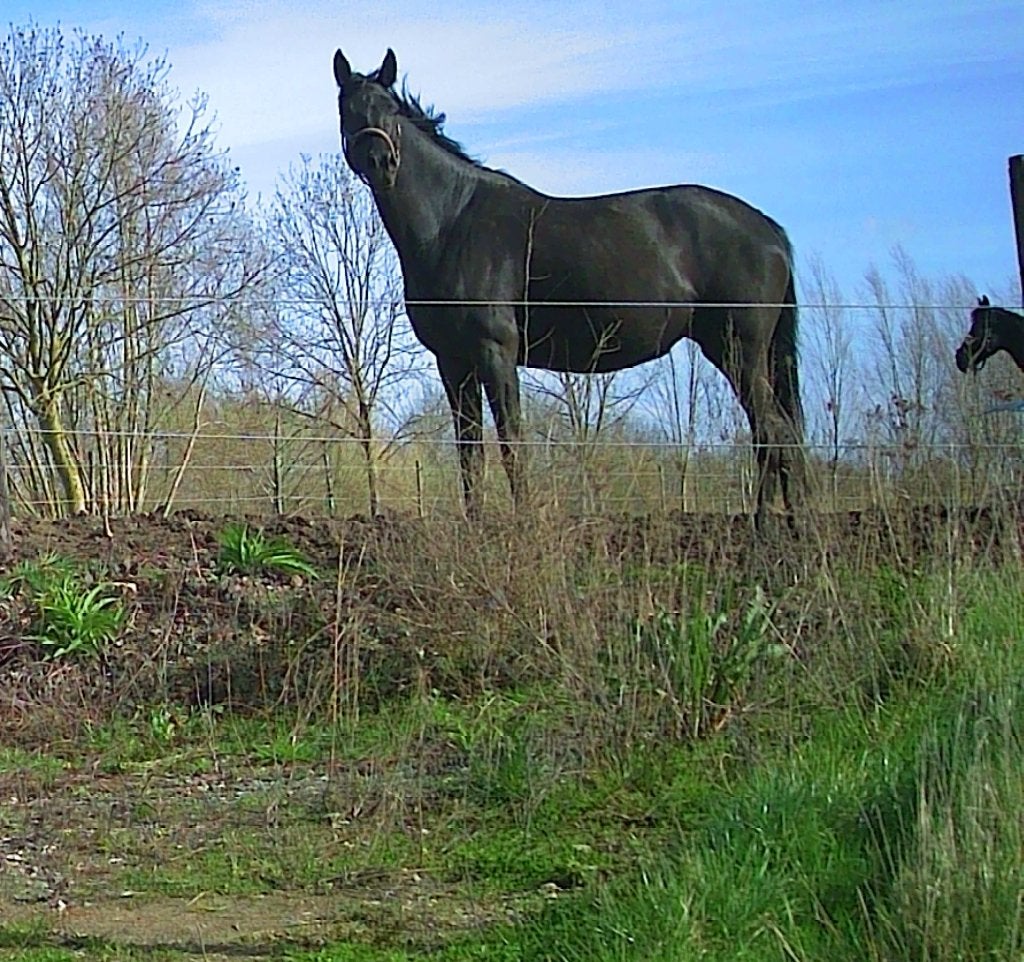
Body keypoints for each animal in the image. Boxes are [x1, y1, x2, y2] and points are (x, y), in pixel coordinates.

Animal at [332, 48, 806, 522]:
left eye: (390, 108)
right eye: (348, 110)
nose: (381, 163)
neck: (452, 223)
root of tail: (769, 230)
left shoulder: (494, 351)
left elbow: (512, 443)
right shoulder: (453, 360)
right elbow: (469, 451)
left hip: (737, 349)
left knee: (772, 432)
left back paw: (763, 523)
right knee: (778, 433)